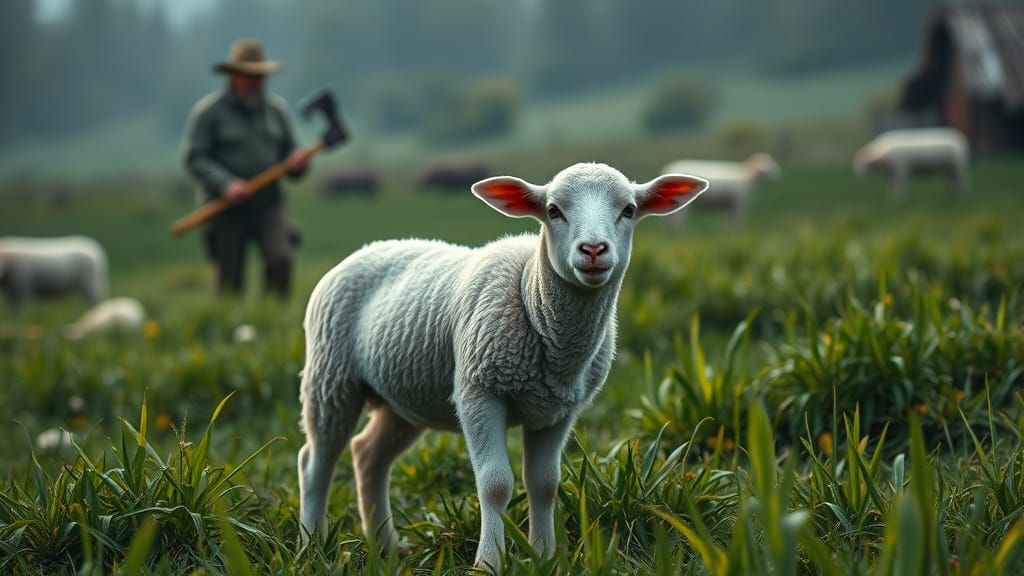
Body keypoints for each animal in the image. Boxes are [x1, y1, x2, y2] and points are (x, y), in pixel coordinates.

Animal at [297, 162, 708, 569]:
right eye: (553, 210)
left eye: (629, 210)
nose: (593, 250)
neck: (534, 297)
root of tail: (367, 249)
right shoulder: (479, 393)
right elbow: (495, 484)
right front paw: (489, 562)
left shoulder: (559, 410)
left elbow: (544, 483)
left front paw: (544, 556)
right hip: (331, 378)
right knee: (315, 462)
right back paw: (313, 545)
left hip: (406, 399)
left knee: (368, 455)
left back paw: (385, 548)